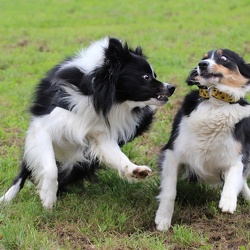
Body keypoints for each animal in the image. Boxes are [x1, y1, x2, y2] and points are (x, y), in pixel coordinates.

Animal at [0, 37, 174, 209]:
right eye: (146, 77)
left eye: (155, 74)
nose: (172, 87)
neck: (99, 96)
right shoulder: (43, 127)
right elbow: (50, 167)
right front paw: (48, 197)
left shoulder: (100, 133)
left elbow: (117, 154)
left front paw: (135, 170)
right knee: (24, 173)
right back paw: (6, 200)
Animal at [155, 48, 250, 230]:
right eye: (204, 58)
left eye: (223, 57)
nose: (202, 64)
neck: (215, 101)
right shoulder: (173, 152)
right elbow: (170, 190)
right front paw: (163, 218)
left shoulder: (238, 155)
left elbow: (235, 174)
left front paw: (228, 201)